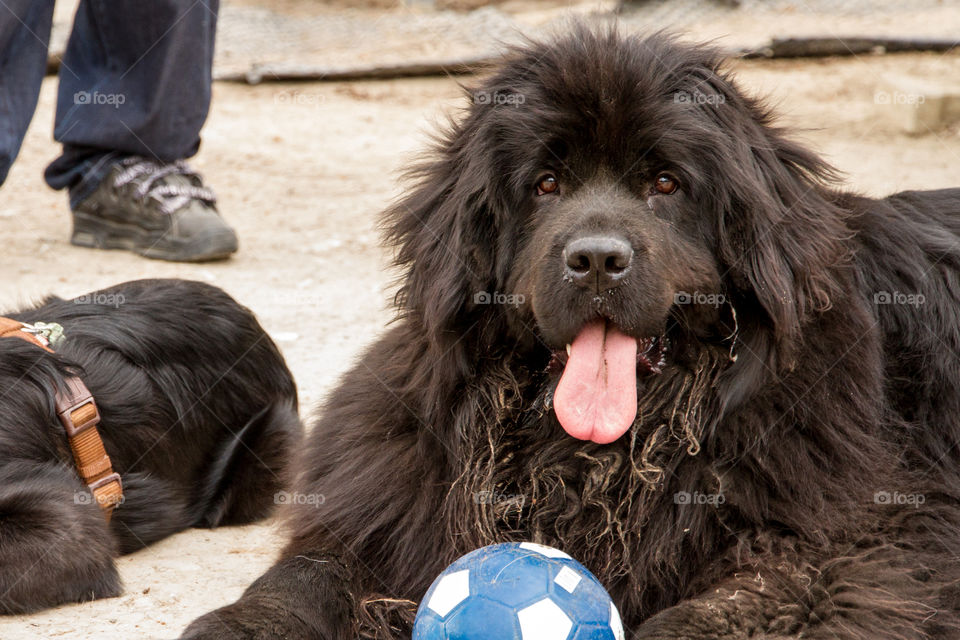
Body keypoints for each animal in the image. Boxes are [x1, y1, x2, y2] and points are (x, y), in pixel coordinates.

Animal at [184, 27, 960, 636]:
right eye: (547, 184)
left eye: (666, 184)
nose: (596, 259)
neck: (593, 462)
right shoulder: (386, 503)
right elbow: (308, 572)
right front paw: (245, 623)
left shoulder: (852, 547)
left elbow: (733, 606)